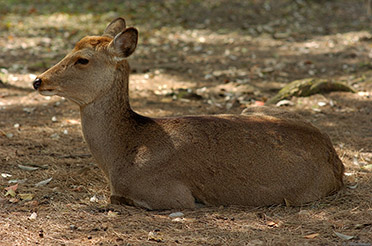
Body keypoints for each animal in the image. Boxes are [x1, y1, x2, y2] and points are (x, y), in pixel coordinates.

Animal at [33, 17, 344, 209]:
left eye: (82, 59)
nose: (38, 80)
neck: (121, 153)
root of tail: (336, 162)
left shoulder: (170, 193)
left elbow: (115, 198)